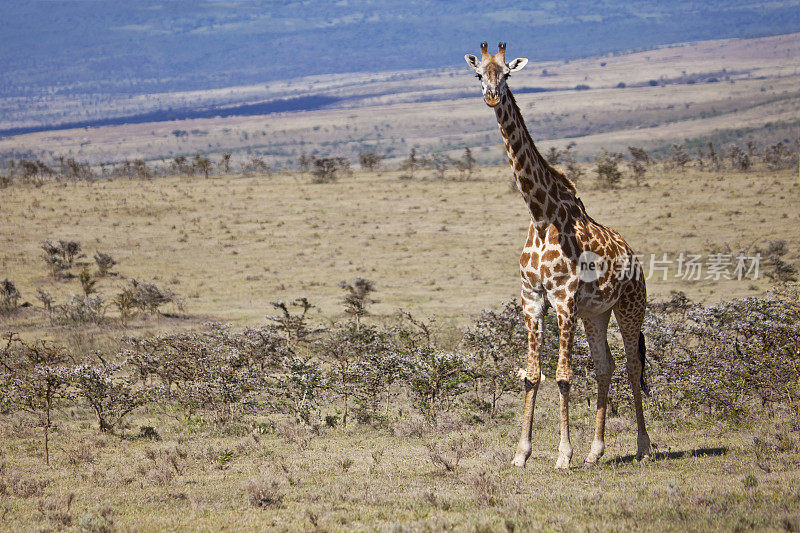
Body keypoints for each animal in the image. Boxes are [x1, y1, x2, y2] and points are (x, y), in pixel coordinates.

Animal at [466, 42, 652, 466]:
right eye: (479, 74)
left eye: (507, 73)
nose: (492, 96)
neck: (540, 214)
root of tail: (634, 257)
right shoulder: (532, 298)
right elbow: (532, 375)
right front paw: (522, 453)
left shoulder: (564, 298)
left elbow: (564, 376)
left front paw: (563, 454)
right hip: (596, 314)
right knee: (605, 367)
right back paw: (596, 452)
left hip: (630, 306)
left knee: (633, 365)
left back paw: (643, 446)